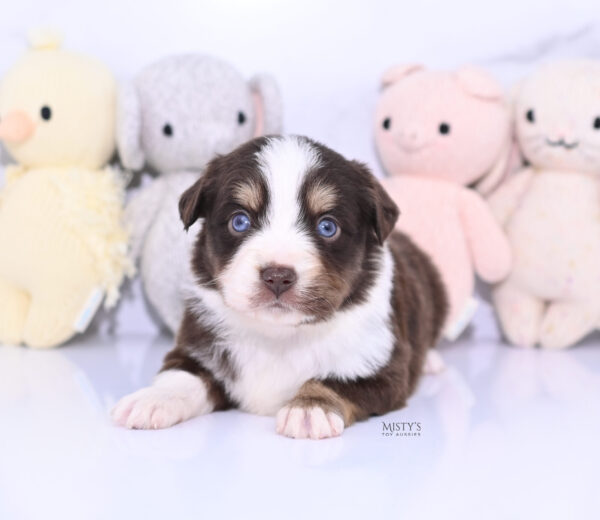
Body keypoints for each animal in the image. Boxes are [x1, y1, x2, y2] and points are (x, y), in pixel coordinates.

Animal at [111, 135, 446, 438]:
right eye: (240, 222)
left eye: (327, 227)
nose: (277, 276)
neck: (279, 335)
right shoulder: (197, 345)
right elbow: (182, 375)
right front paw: (152, 399)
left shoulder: (381, 366)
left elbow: (334, 381)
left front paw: (309, 408)